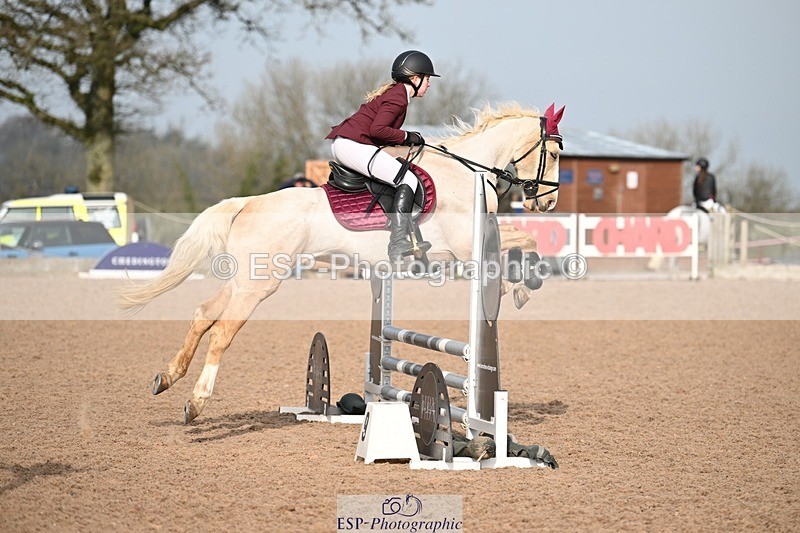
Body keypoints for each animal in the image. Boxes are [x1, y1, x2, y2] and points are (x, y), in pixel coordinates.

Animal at [118, 102, 564, 423]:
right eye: (557, 152)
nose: (547, 203)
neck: (466, 172)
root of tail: (247, 202)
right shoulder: (466, 248)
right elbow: (522, 242)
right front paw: (521, 288)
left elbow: (521, 242)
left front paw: (522, 284)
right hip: (259, 284)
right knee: (223, 332)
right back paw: (196, 403)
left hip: (246, 278)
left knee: (204, 313)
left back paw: (166, 378)